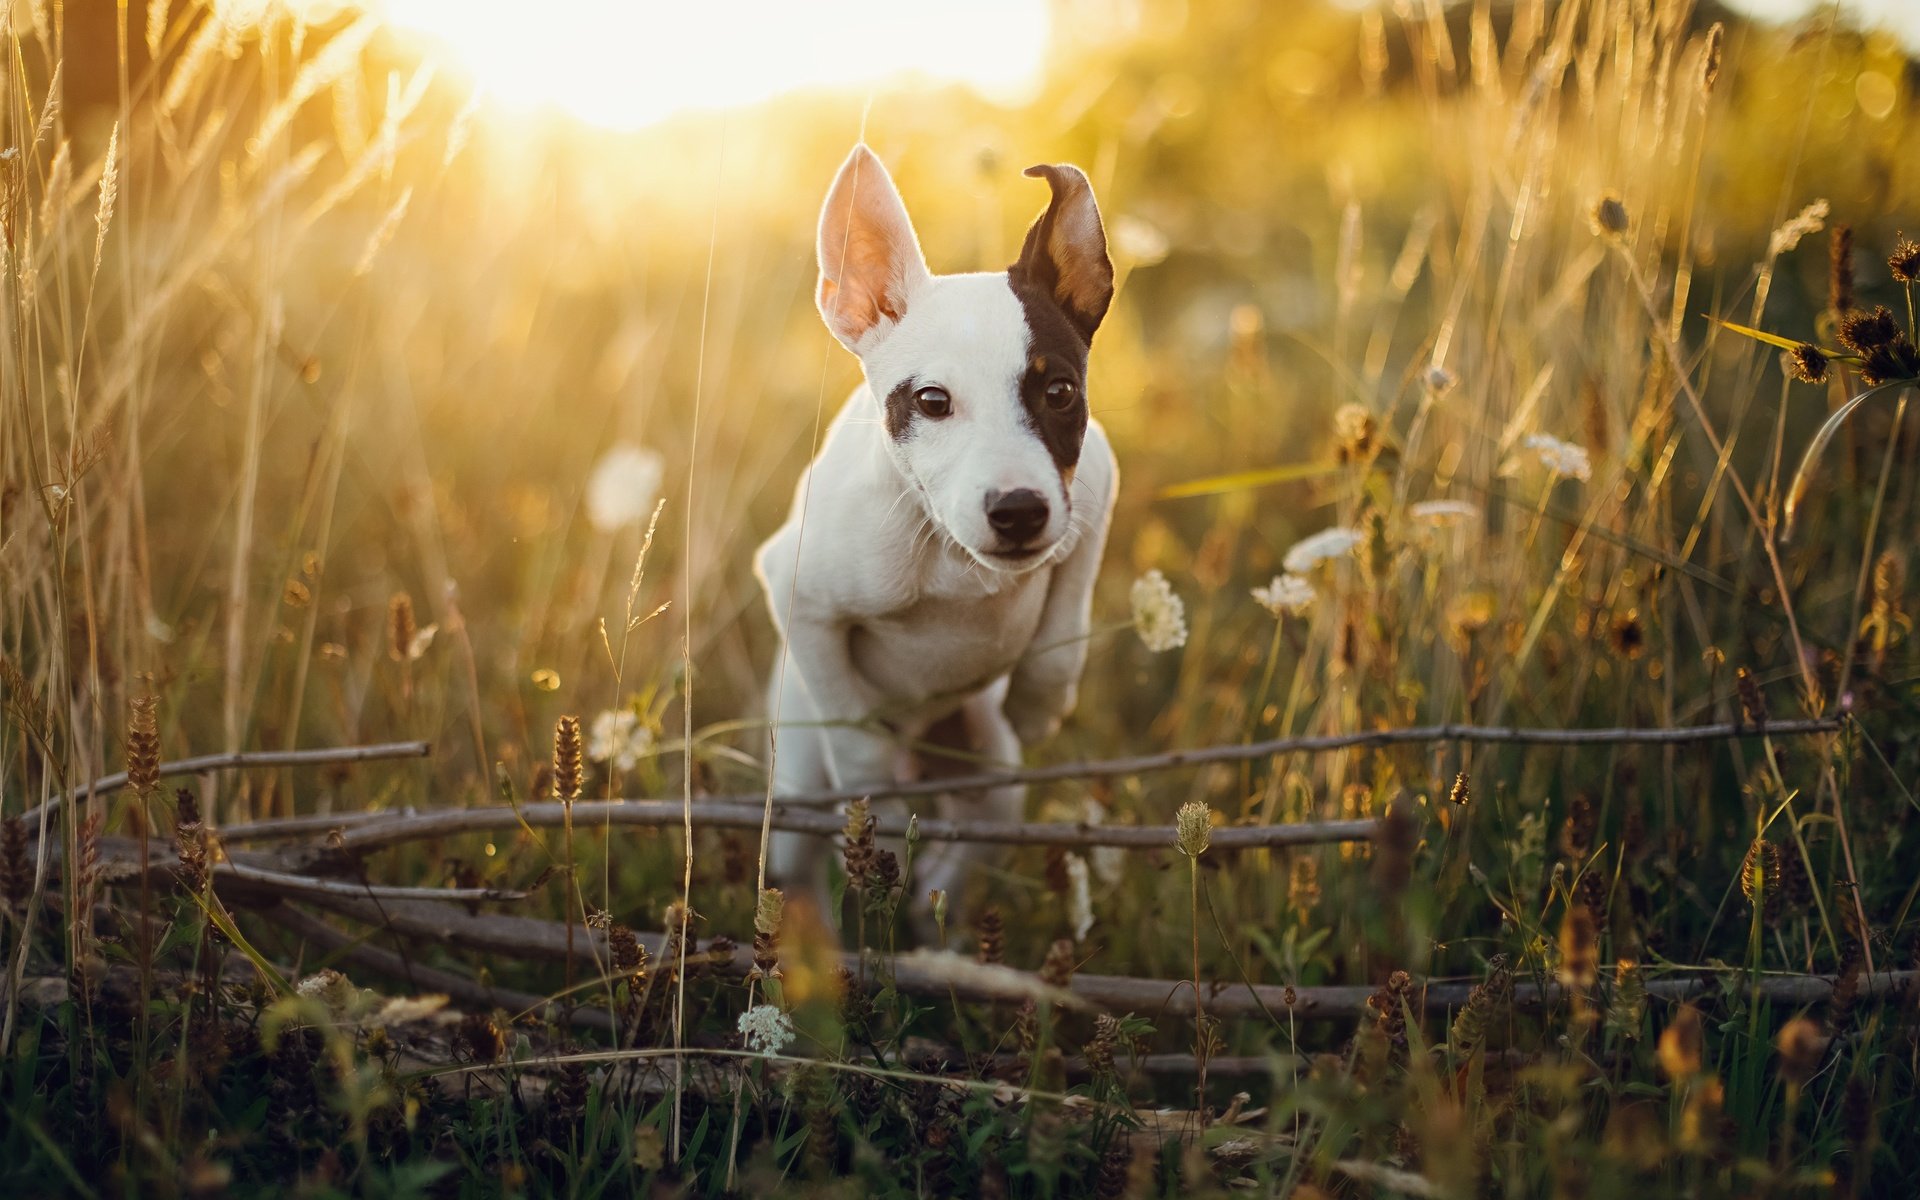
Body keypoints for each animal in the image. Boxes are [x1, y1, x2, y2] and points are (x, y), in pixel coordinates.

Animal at [752, 143, 1121, 925]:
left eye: (1060, 392)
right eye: (931, 401)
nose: (1019, 511)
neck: (946, 551)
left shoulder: (1094, 494)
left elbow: (1064, 622)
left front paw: (1040, 705)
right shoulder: (800, 596)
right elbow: (854, 732)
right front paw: (875, 806)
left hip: (992, 773)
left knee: (977, 835)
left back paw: (933, 901)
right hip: (794, 784)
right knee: (797, 870)